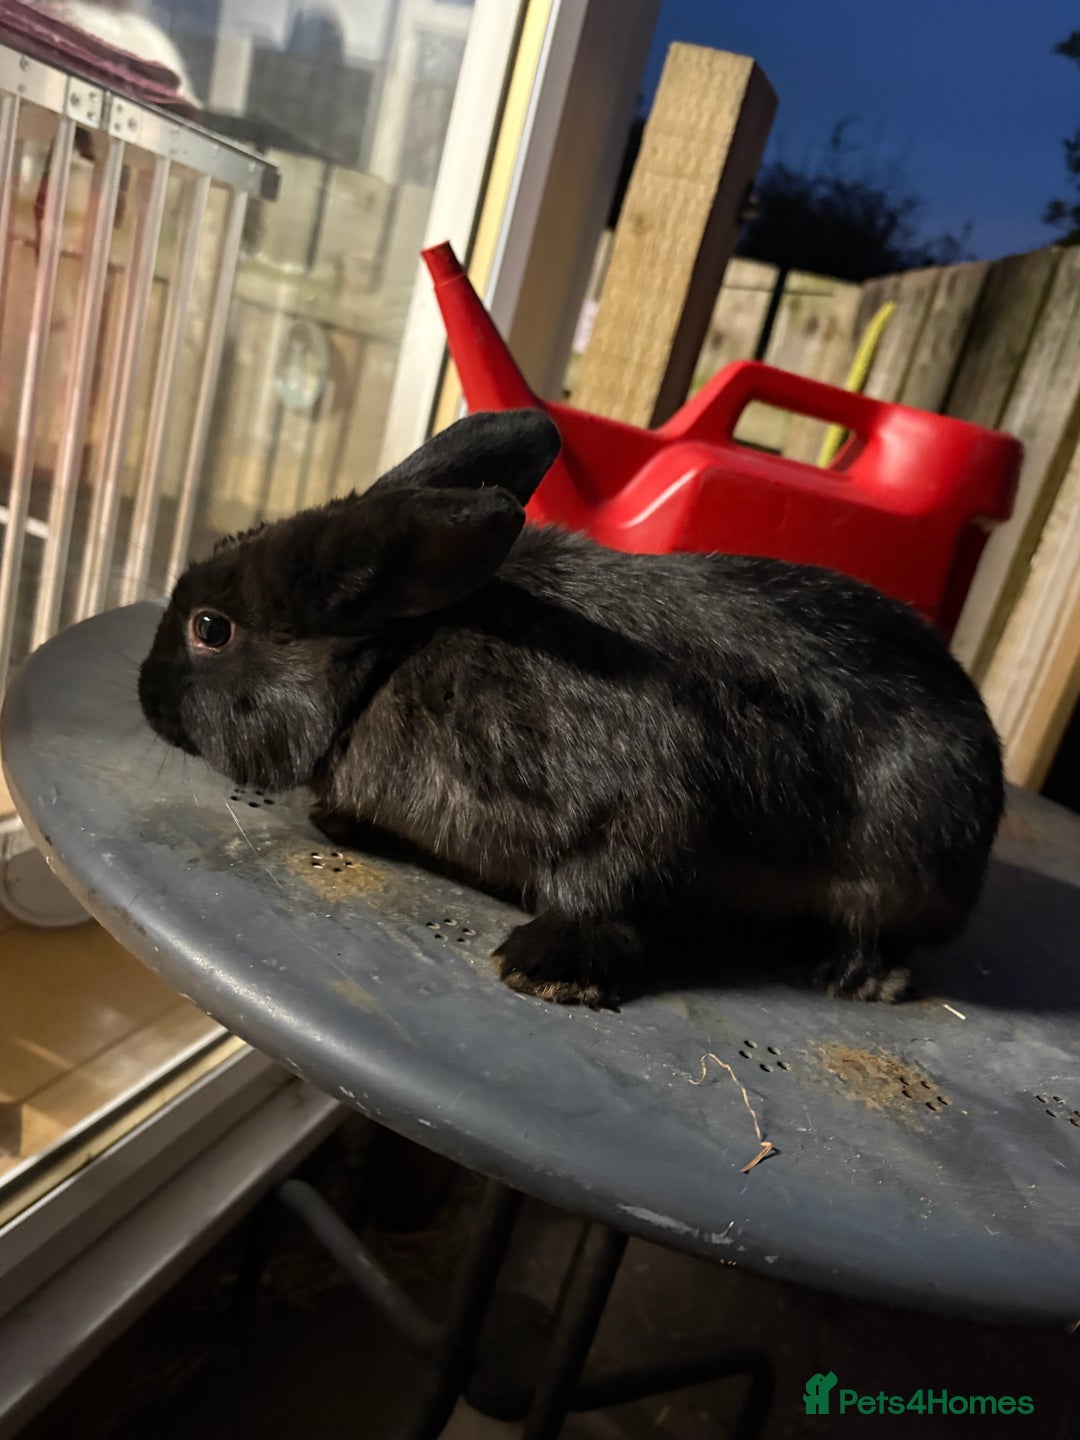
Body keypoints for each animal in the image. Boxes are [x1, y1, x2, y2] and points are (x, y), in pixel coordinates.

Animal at [138, 408, 1004, 1009]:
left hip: (897, 859)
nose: (145, 694)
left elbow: (606, 890)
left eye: (211, 629)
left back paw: (844, 971)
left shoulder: (637, 799)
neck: (389, 660)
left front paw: (546, 970)